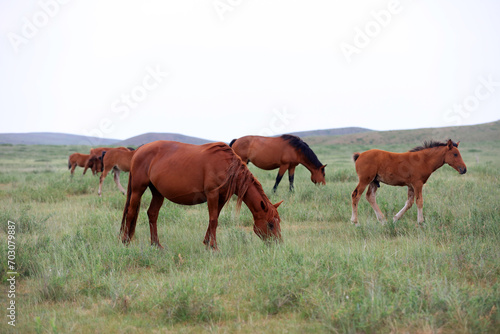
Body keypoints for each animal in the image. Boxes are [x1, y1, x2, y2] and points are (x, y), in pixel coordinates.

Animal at [119, 140, 284, 249]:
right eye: (270, 224)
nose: (279, 244)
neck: (228, 167)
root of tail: (137, 151)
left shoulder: (221, 198)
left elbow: (214, 219)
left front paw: (207, 243)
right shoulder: (212, 194)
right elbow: (213, 220)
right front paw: (214, 247)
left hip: (158, 193)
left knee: (152, 214)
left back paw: (156, 244)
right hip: (138, 189)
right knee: (131, 212)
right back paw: (126, 242)